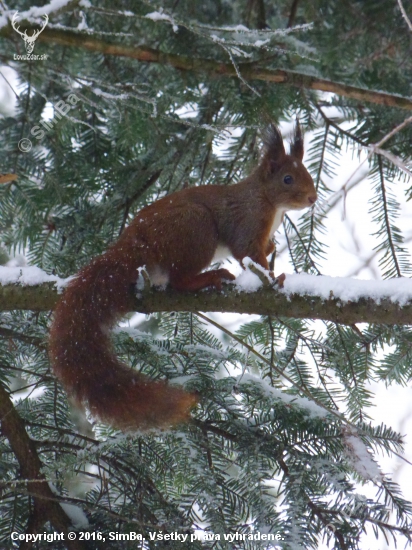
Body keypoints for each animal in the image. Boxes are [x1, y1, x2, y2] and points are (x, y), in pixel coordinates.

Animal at [50, 123, 318, 434]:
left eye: (308, 172)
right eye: (288, 179)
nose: (313, 198)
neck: (267, 200)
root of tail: (135, 241)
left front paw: (273, 249)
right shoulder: (247, 222)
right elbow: (248, 254)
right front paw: (272, 277)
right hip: (196, 228)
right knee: (178, 280)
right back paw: (210, 276)